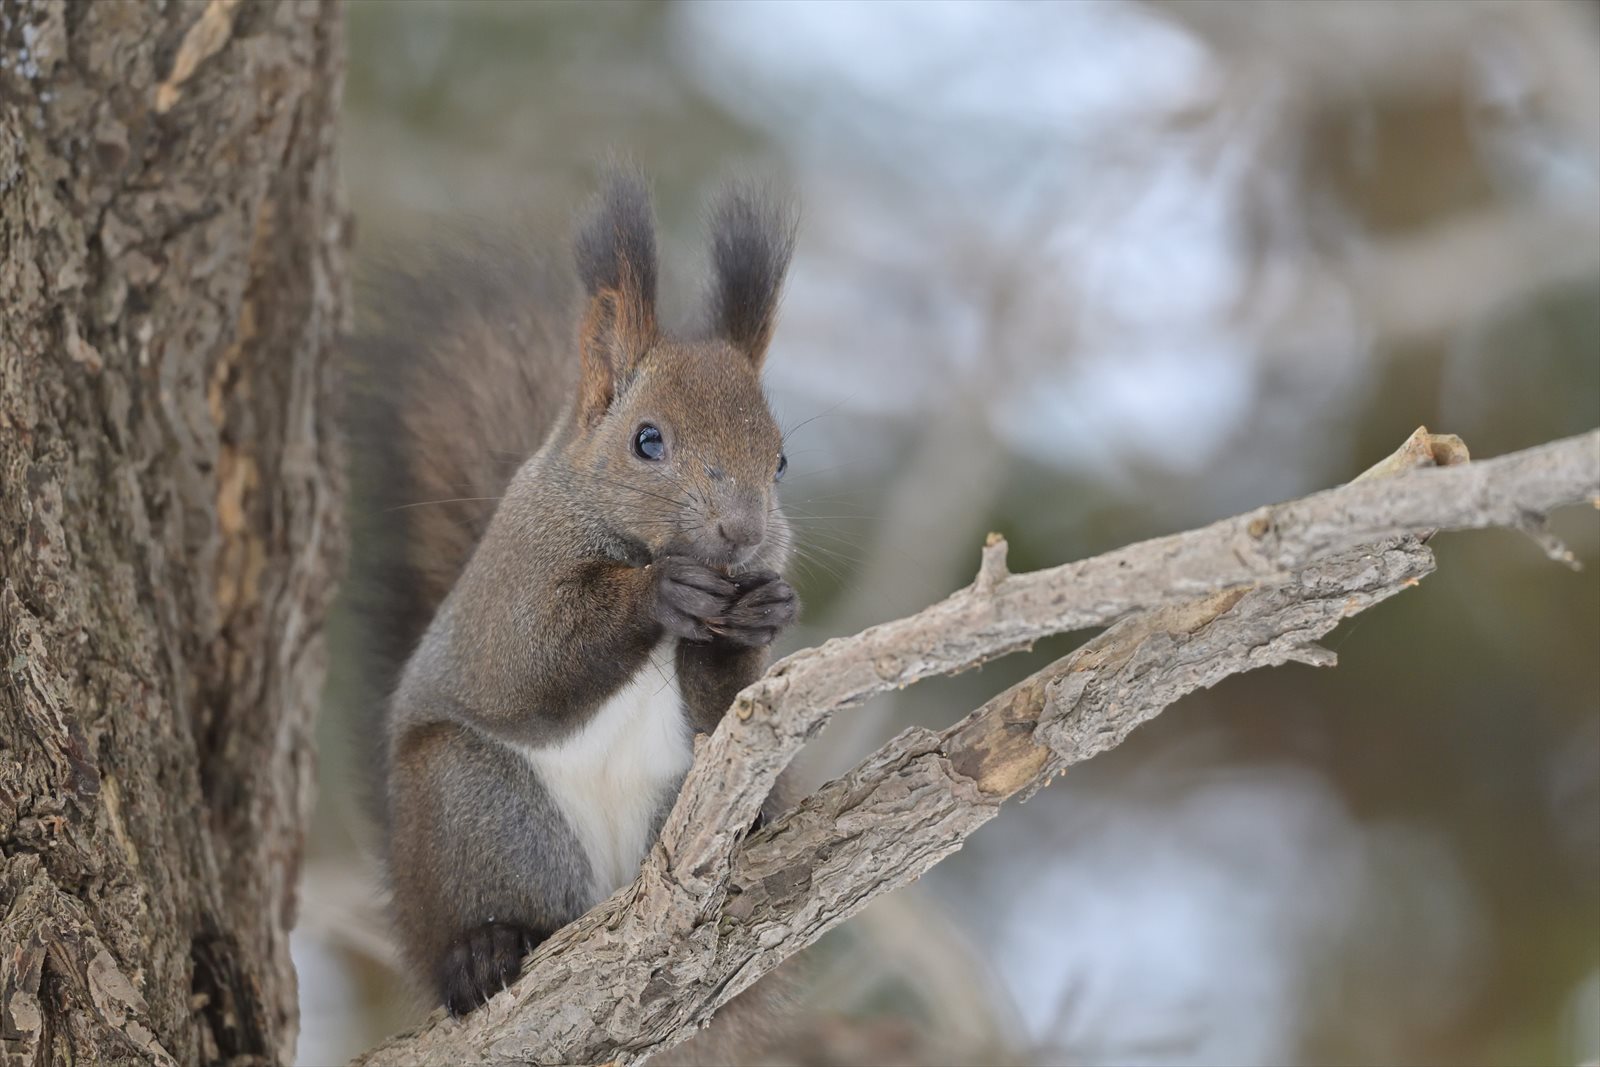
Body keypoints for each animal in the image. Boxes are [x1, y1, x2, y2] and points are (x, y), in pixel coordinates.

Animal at [350, 173, 800, 1017]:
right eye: (647, 439)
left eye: (781, 459)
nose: (743, 532)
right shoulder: (510, 585)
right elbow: (532, 662)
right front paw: (658, 591)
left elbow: (729, 711)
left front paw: (760, 613)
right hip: (473, 807)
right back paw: (479, 951)